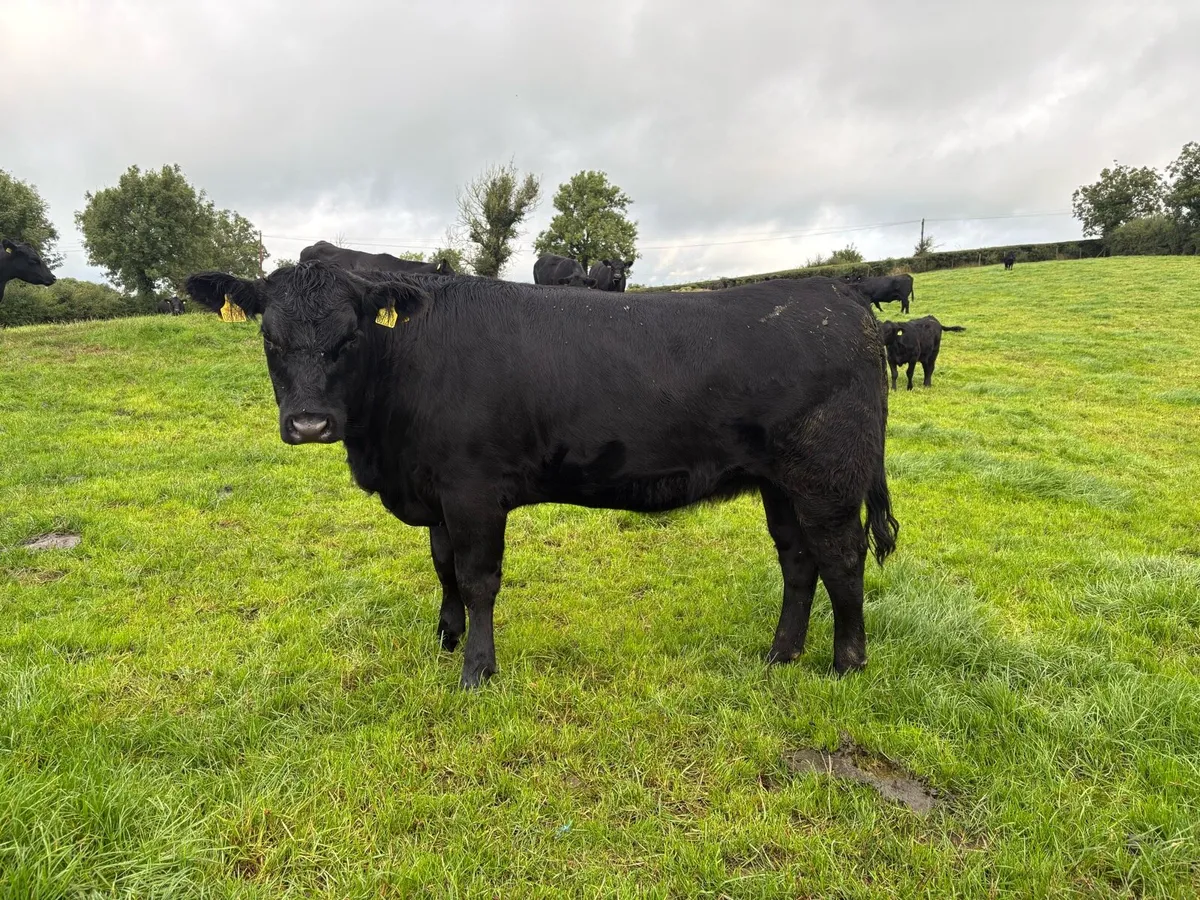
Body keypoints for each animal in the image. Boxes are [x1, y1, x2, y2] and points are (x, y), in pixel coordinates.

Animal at [184, 263, 899, 688]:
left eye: (350, 336)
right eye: (270, 339)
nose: (309, 422)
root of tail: (841, 294)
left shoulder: (473, 490)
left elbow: (478, 579)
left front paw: (478, 670)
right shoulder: (438, 491)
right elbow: (443, 567)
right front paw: (445, 639)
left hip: (829, 477)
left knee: (842, 561)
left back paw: (846, 665)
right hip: (781, 483)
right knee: (799, 561)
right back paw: (781, 655)